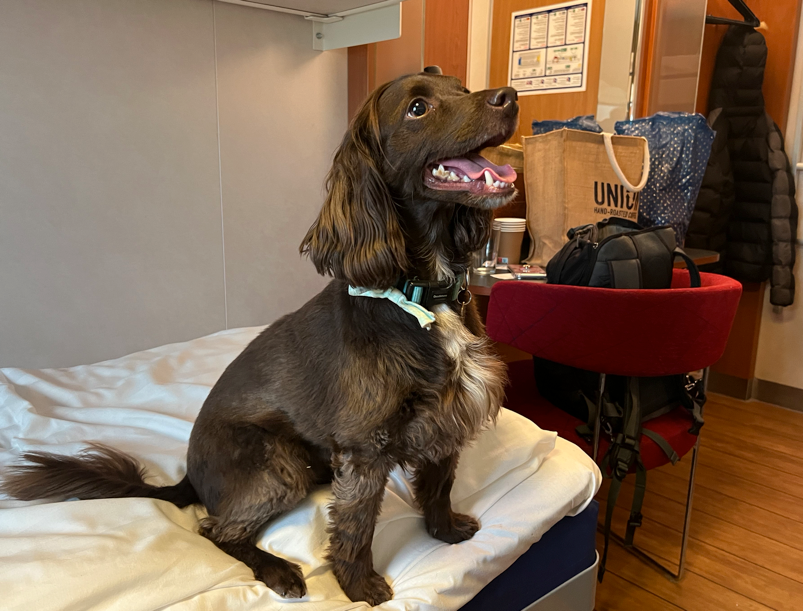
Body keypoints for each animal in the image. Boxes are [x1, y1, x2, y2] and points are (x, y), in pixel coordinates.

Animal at [1, 73, 520, 608]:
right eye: (418, 108)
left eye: (461, 88)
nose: (510, 97)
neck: (420, 295)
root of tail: (186, 476)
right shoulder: (365, 447)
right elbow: (355, 525)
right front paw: (359, 587)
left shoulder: (447, 417)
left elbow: (440, 484)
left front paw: (445, 531)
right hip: (277, 461)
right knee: (215, 530)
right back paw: (278, 570)